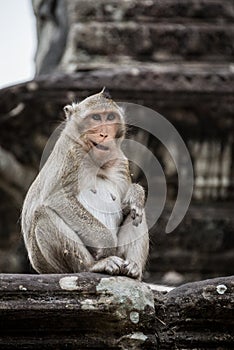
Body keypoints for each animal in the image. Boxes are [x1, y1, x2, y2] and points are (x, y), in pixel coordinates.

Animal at [22, 89, 150, 280]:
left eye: (110, 117)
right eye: (96, 118)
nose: (104, 134)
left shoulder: (120, 162)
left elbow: (129, 205)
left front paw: (136, 194)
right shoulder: (72, 156)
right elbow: (58, 198)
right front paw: (107, 245)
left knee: (138, 215)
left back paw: (133, 269)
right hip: (49, 264)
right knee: (43, 214)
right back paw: (94, 265)